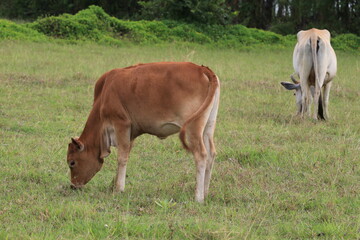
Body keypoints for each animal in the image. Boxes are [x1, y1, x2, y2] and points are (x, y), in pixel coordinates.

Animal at [66, 62, 221, 202]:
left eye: (72, 162)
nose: (73, 186)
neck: (104, 93)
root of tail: (201, 68)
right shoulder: (130, 133)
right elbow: (125, 155)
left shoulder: (121, 124)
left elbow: (121, 158)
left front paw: (118, 189)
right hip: (208, 126)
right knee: (211, 154)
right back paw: (206, 192)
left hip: (192, 128)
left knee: (201, 155)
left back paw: (198, 197)